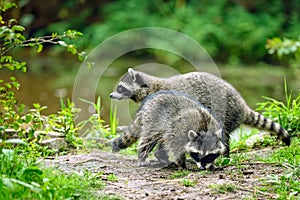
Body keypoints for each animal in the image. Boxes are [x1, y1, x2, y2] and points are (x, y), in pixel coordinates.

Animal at [110, 68, 290, 155]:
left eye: (120, 87)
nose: (111, 95)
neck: (150, 88)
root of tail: (242, 105)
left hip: (225, 112)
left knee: (221, 133)